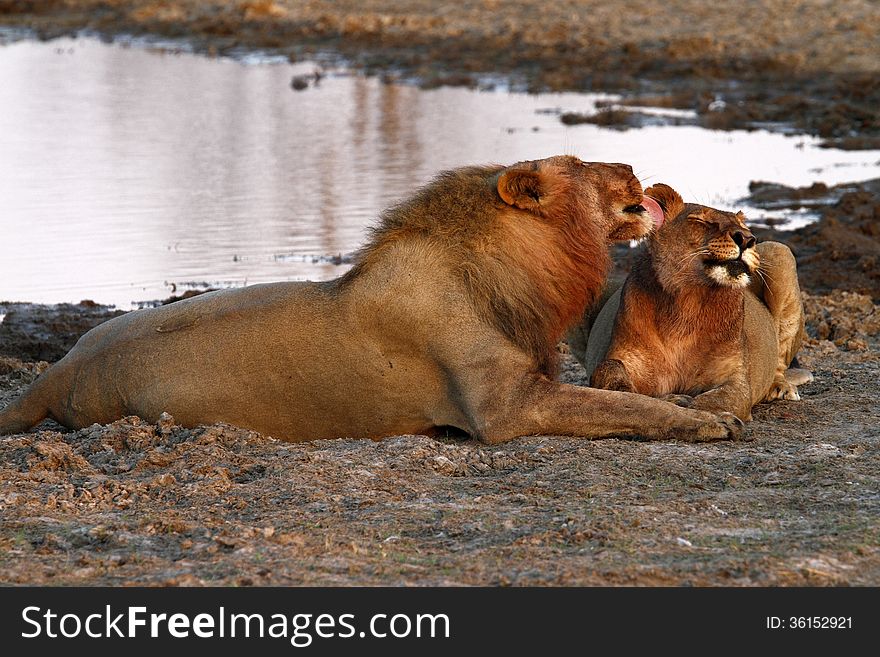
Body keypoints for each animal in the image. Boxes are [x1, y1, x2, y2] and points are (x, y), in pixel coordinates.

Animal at [0, 156, 744, 440]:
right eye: (587, 167)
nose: (636, 169)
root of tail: (56, 371)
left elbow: (629, 395)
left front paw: (699, 405)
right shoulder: (505, 409)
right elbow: (621, 405)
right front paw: (708, 422)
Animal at [572, 184, 812, 420]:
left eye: (745, 227)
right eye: (701, 221)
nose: (746, 239)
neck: (689, 301)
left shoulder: (736, 379)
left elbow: (718, 400)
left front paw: (692, 409)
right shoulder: (625, 361)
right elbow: (611, 373)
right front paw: (667, 400)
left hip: (780, 251)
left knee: (780, 361)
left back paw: (781, 387)